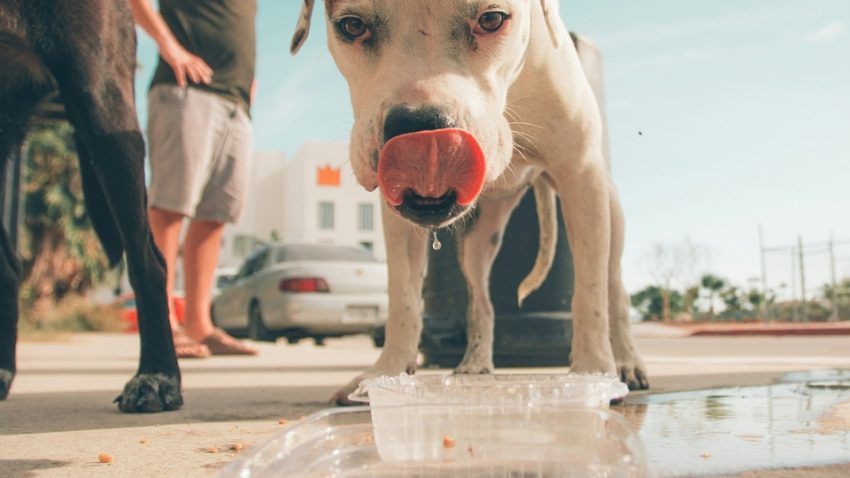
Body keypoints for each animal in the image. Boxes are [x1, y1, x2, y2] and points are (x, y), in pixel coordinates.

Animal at [288, 0, 644, 404]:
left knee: (613, 288)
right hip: (477, 240)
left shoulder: (581, 175)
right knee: (482, 302)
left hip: (608, 212)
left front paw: (593, 373)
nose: (422, 128)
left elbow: (589, 294)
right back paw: (475, 363)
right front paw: (387, 373)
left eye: (491, 19)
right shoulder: (397, 220)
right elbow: (403, 299)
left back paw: (627, 362)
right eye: (351, 25)